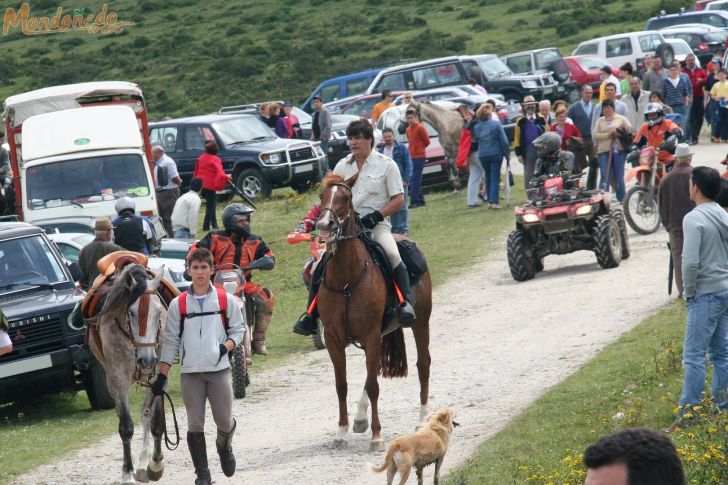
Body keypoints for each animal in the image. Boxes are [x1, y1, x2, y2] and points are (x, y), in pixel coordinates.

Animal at [314, 174, 430, 450]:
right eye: (322, 196)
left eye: (345, 197)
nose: (324, 224)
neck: (346, 280)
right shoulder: (335, 340)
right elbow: (342, 385)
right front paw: (341, 433)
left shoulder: (370, 335)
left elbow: (374, 386)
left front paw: (377, 436)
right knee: (371, 373)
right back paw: (359, 419)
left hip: (421, 323)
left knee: (423, 365)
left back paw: (422, 420)